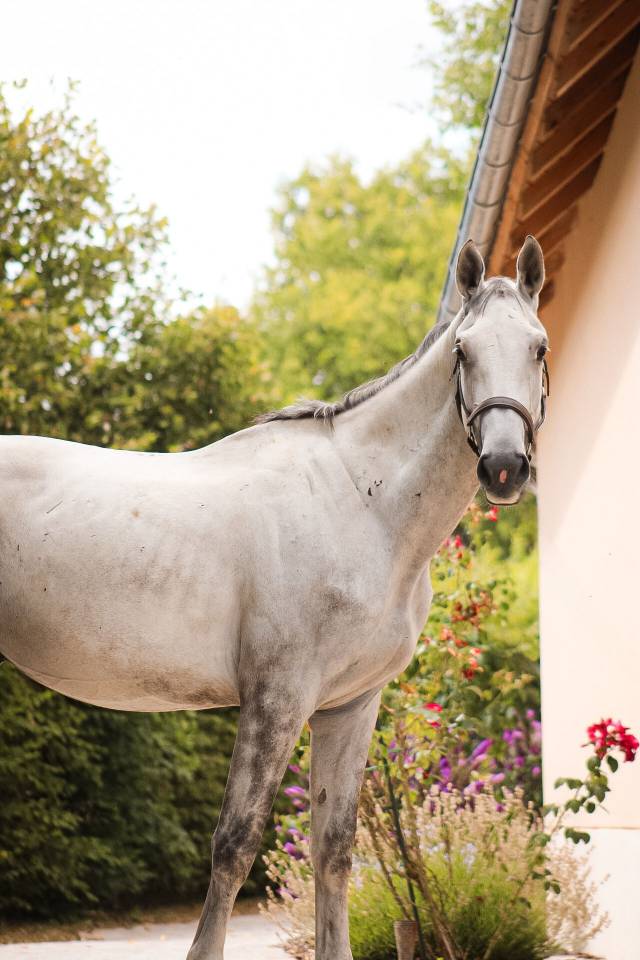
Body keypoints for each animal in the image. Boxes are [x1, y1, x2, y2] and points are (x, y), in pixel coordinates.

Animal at [0, 236, 548, 959]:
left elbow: (335, 850)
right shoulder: (276, 699)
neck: (361, 503)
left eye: (538, 347)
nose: (504, 467)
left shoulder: (349, 707)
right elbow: (234, 845)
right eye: (463, 351)